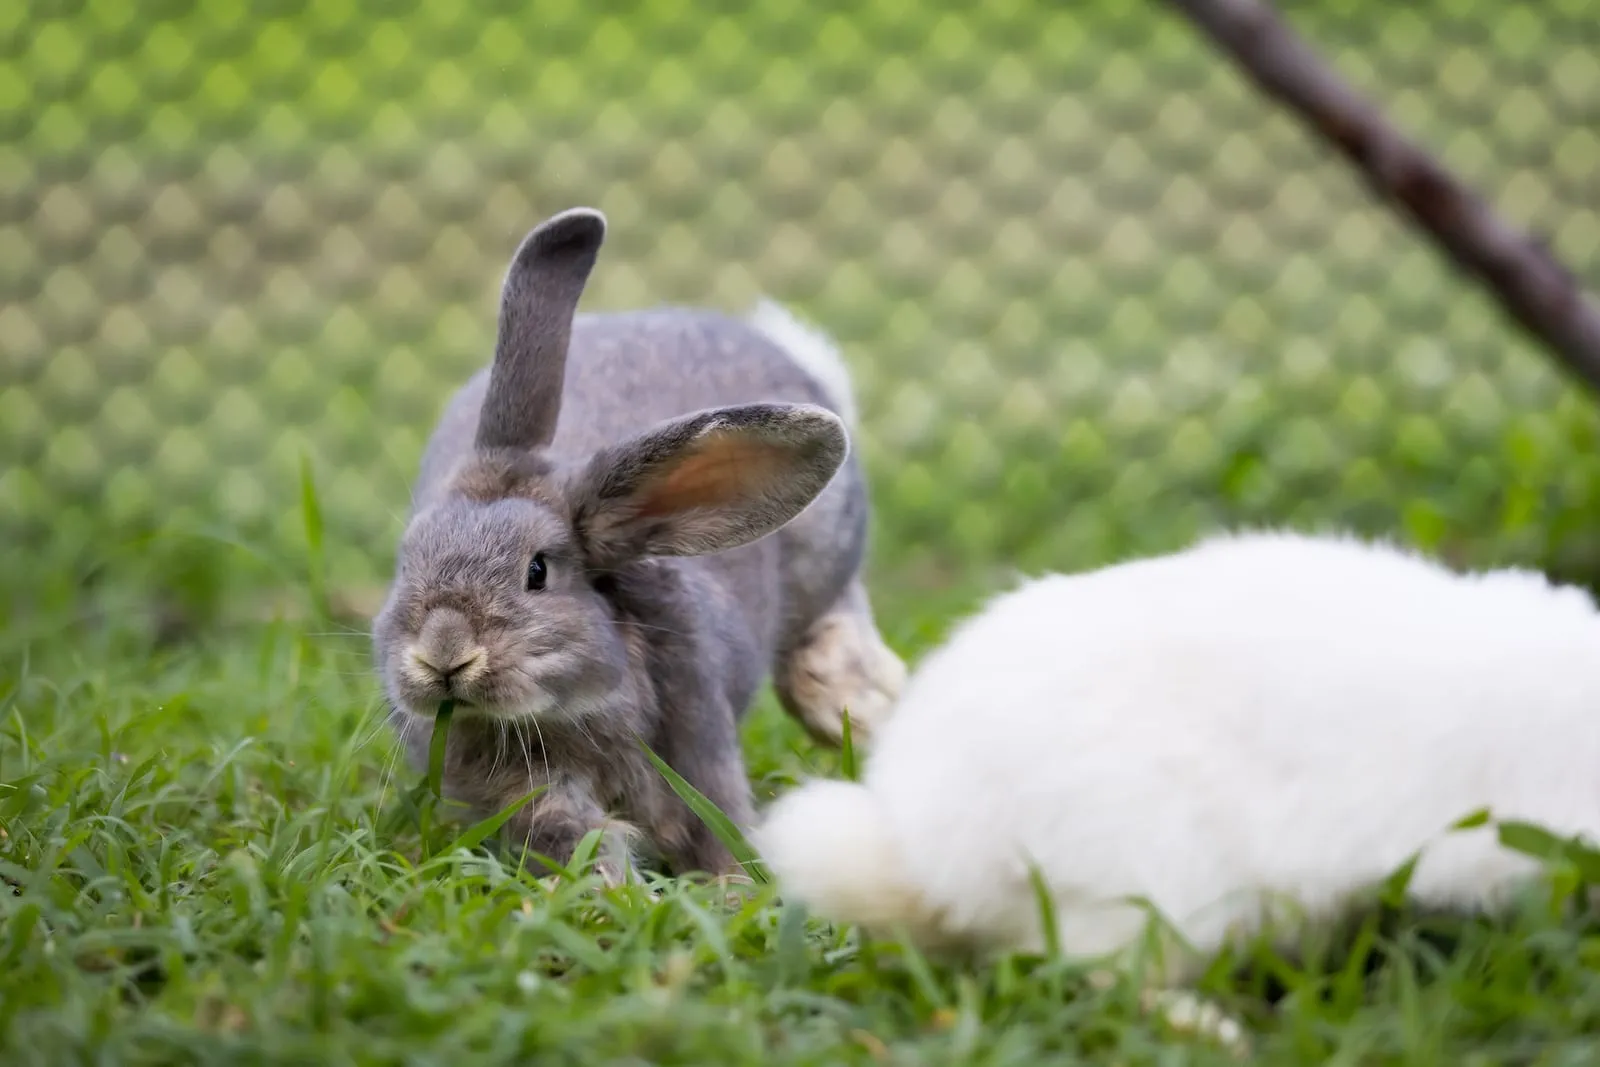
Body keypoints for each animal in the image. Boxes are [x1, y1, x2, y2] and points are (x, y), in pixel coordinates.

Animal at [371, 207, 906, 882]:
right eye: (406, 561)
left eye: (538, 572)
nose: (444, 655)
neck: (564, 714)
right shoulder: (535, 799)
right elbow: (578, 838)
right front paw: (610, 891)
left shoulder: (701, 755)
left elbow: (719, 827)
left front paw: (734, 888)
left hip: (825, 559)